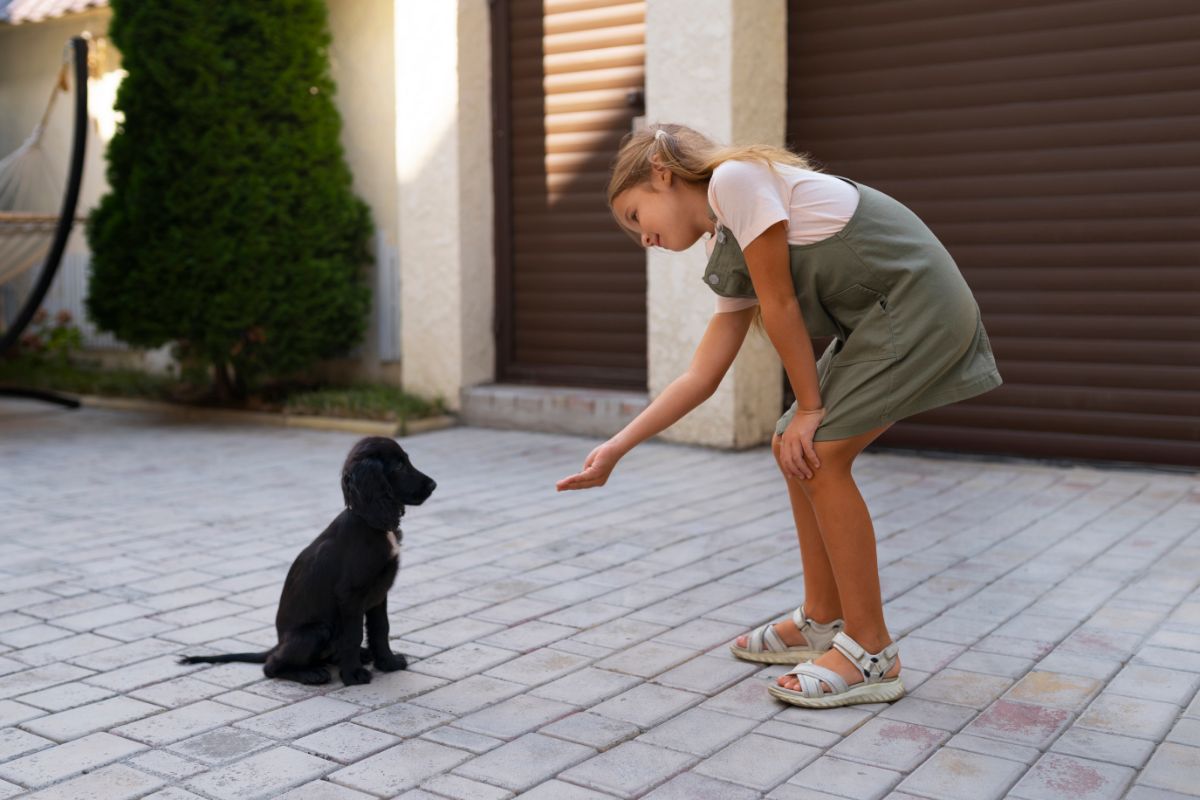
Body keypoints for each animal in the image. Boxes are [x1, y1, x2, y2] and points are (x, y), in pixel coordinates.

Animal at [180, 434, 434, 686]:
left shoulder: (379, 592)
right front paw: (353, 675)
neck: (369, 521)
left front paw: (388, 663)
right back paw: (312, 673)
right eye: (399, 466)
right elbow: (354, 635)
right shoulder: (350, 595)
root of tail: (278, 643)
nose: (434, 485)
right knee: (271, 666)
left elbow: (381, 628)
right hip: (317, 630)